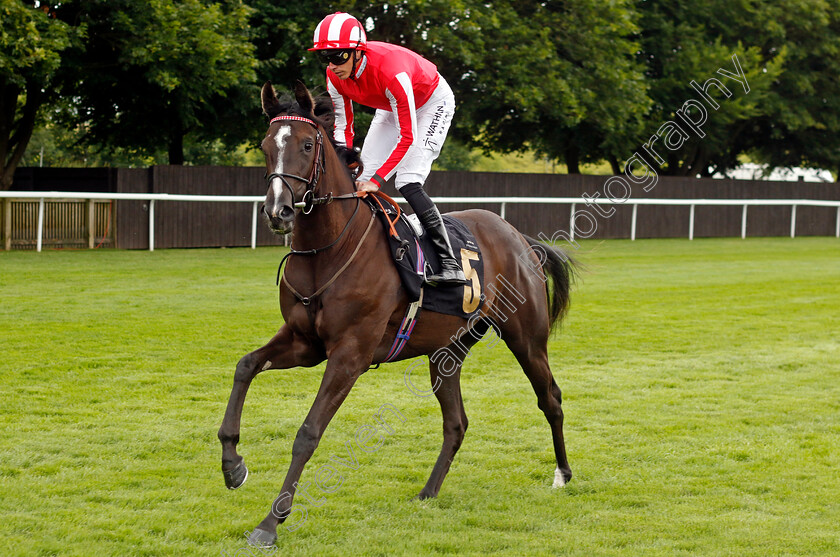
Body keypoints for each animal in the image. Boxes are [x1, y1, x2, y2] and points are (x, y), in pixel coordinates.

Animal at [217, 82, 576, 548]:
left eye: (307, 144)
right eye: (265, 146)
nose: (279, 212)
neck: (328, 249)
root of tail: (520, 238)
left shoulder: (350, 354)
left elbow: (308, 433)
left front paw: (270, 523)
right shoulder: (304, 342)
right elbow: (245, 366)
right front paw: (233, 465)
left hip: (527, 337)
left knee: (550, 397)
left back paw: (563, 474)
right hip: (447, 351)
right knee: (456, 422)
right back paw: (429, 491)